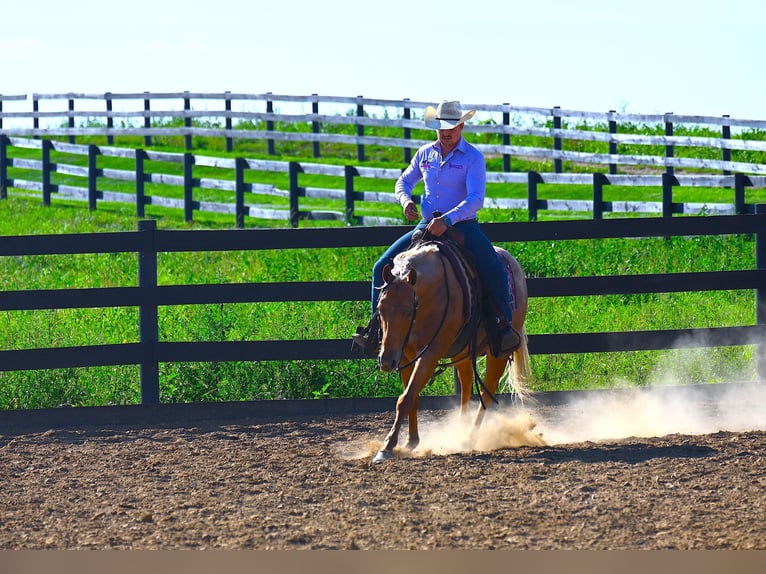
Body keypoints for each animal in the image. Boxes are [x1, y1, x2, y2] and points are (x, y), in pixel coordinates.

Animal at [372, 238, 528, 468]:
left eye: (408, 311)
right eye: (380, 308)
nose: (386, 361)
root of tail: (514, 264)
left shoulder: (430, 353)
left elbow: (406, 398)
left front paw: (387, 447)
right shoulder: (406, 355)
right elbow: (412, 397)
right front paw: (411, 441)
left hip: (498, 352)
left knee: (487, 391)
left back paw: (469, 437)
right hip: (462, 351)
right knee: (466, 383)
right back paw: (460, 427)